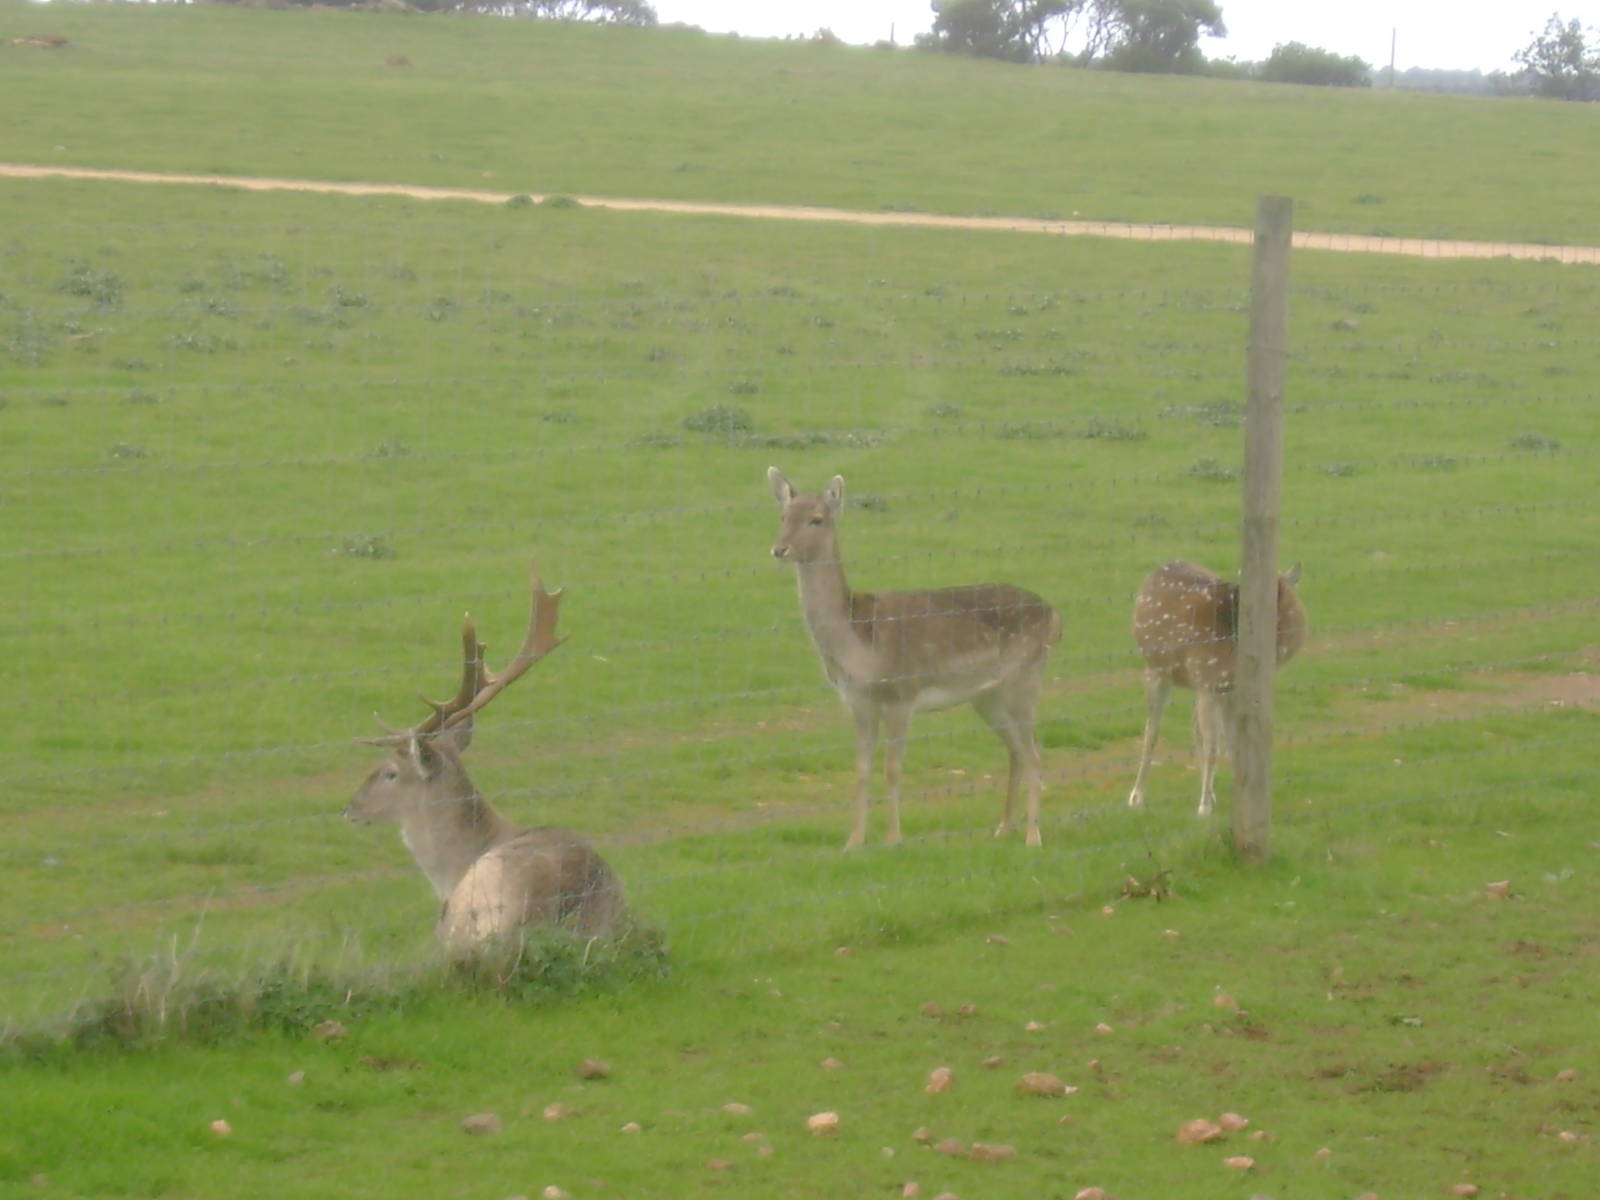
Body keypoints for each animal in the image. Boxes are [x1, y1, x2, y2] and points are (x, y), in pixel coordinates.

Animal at [768, 468, 1062, 850]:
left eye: (816, 519)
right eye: (783, 516)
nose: (779, 549)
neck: (859, 646)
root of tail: (1056, 616)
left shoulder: (901, 695)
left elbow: (892, 769)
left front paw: (894, 839)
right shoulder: (857, 703)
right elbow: (861, 770)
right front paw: (853, 841)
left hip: (1025, 677)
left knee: (1034, 751)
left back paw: (1033, 836)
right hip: (987, 696)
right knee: (1015, 749)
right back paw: (1004, 827)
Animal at [1126, 560, 1306, 816]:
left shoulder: (1229, 689)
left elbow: (1232, 742)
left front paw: (1235, 793)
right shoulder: (1209, 683)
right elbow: (1214, 746)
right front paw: (1204, 806)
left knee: (1195, 727)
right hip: (1157, 668)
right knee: (1152, 730)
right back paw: (1137, 796)